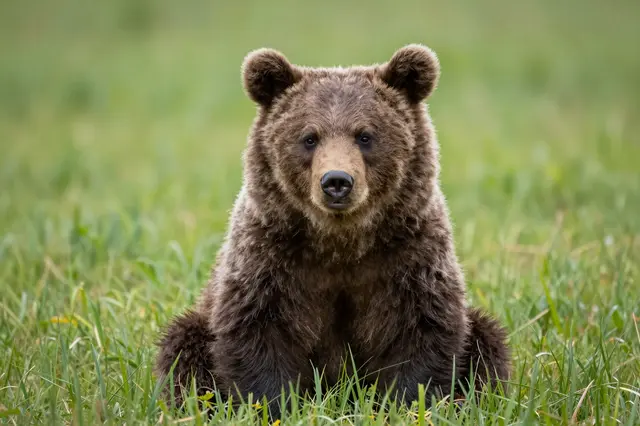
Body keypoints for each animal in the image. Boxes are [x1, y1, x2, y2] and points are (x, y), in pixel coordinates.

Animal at [155, 44, 511, 417]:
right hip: (198, 326)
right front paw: (273, 406)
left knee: (488, 342)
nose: (337, 181)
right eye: (309, 137)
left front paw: (408, 405)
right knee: (183, 347)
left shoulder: (409, 255)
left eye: (365, 135)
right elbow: (258, 331)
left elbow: (422, 330)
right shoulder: (269, 257)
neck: (340, 242)